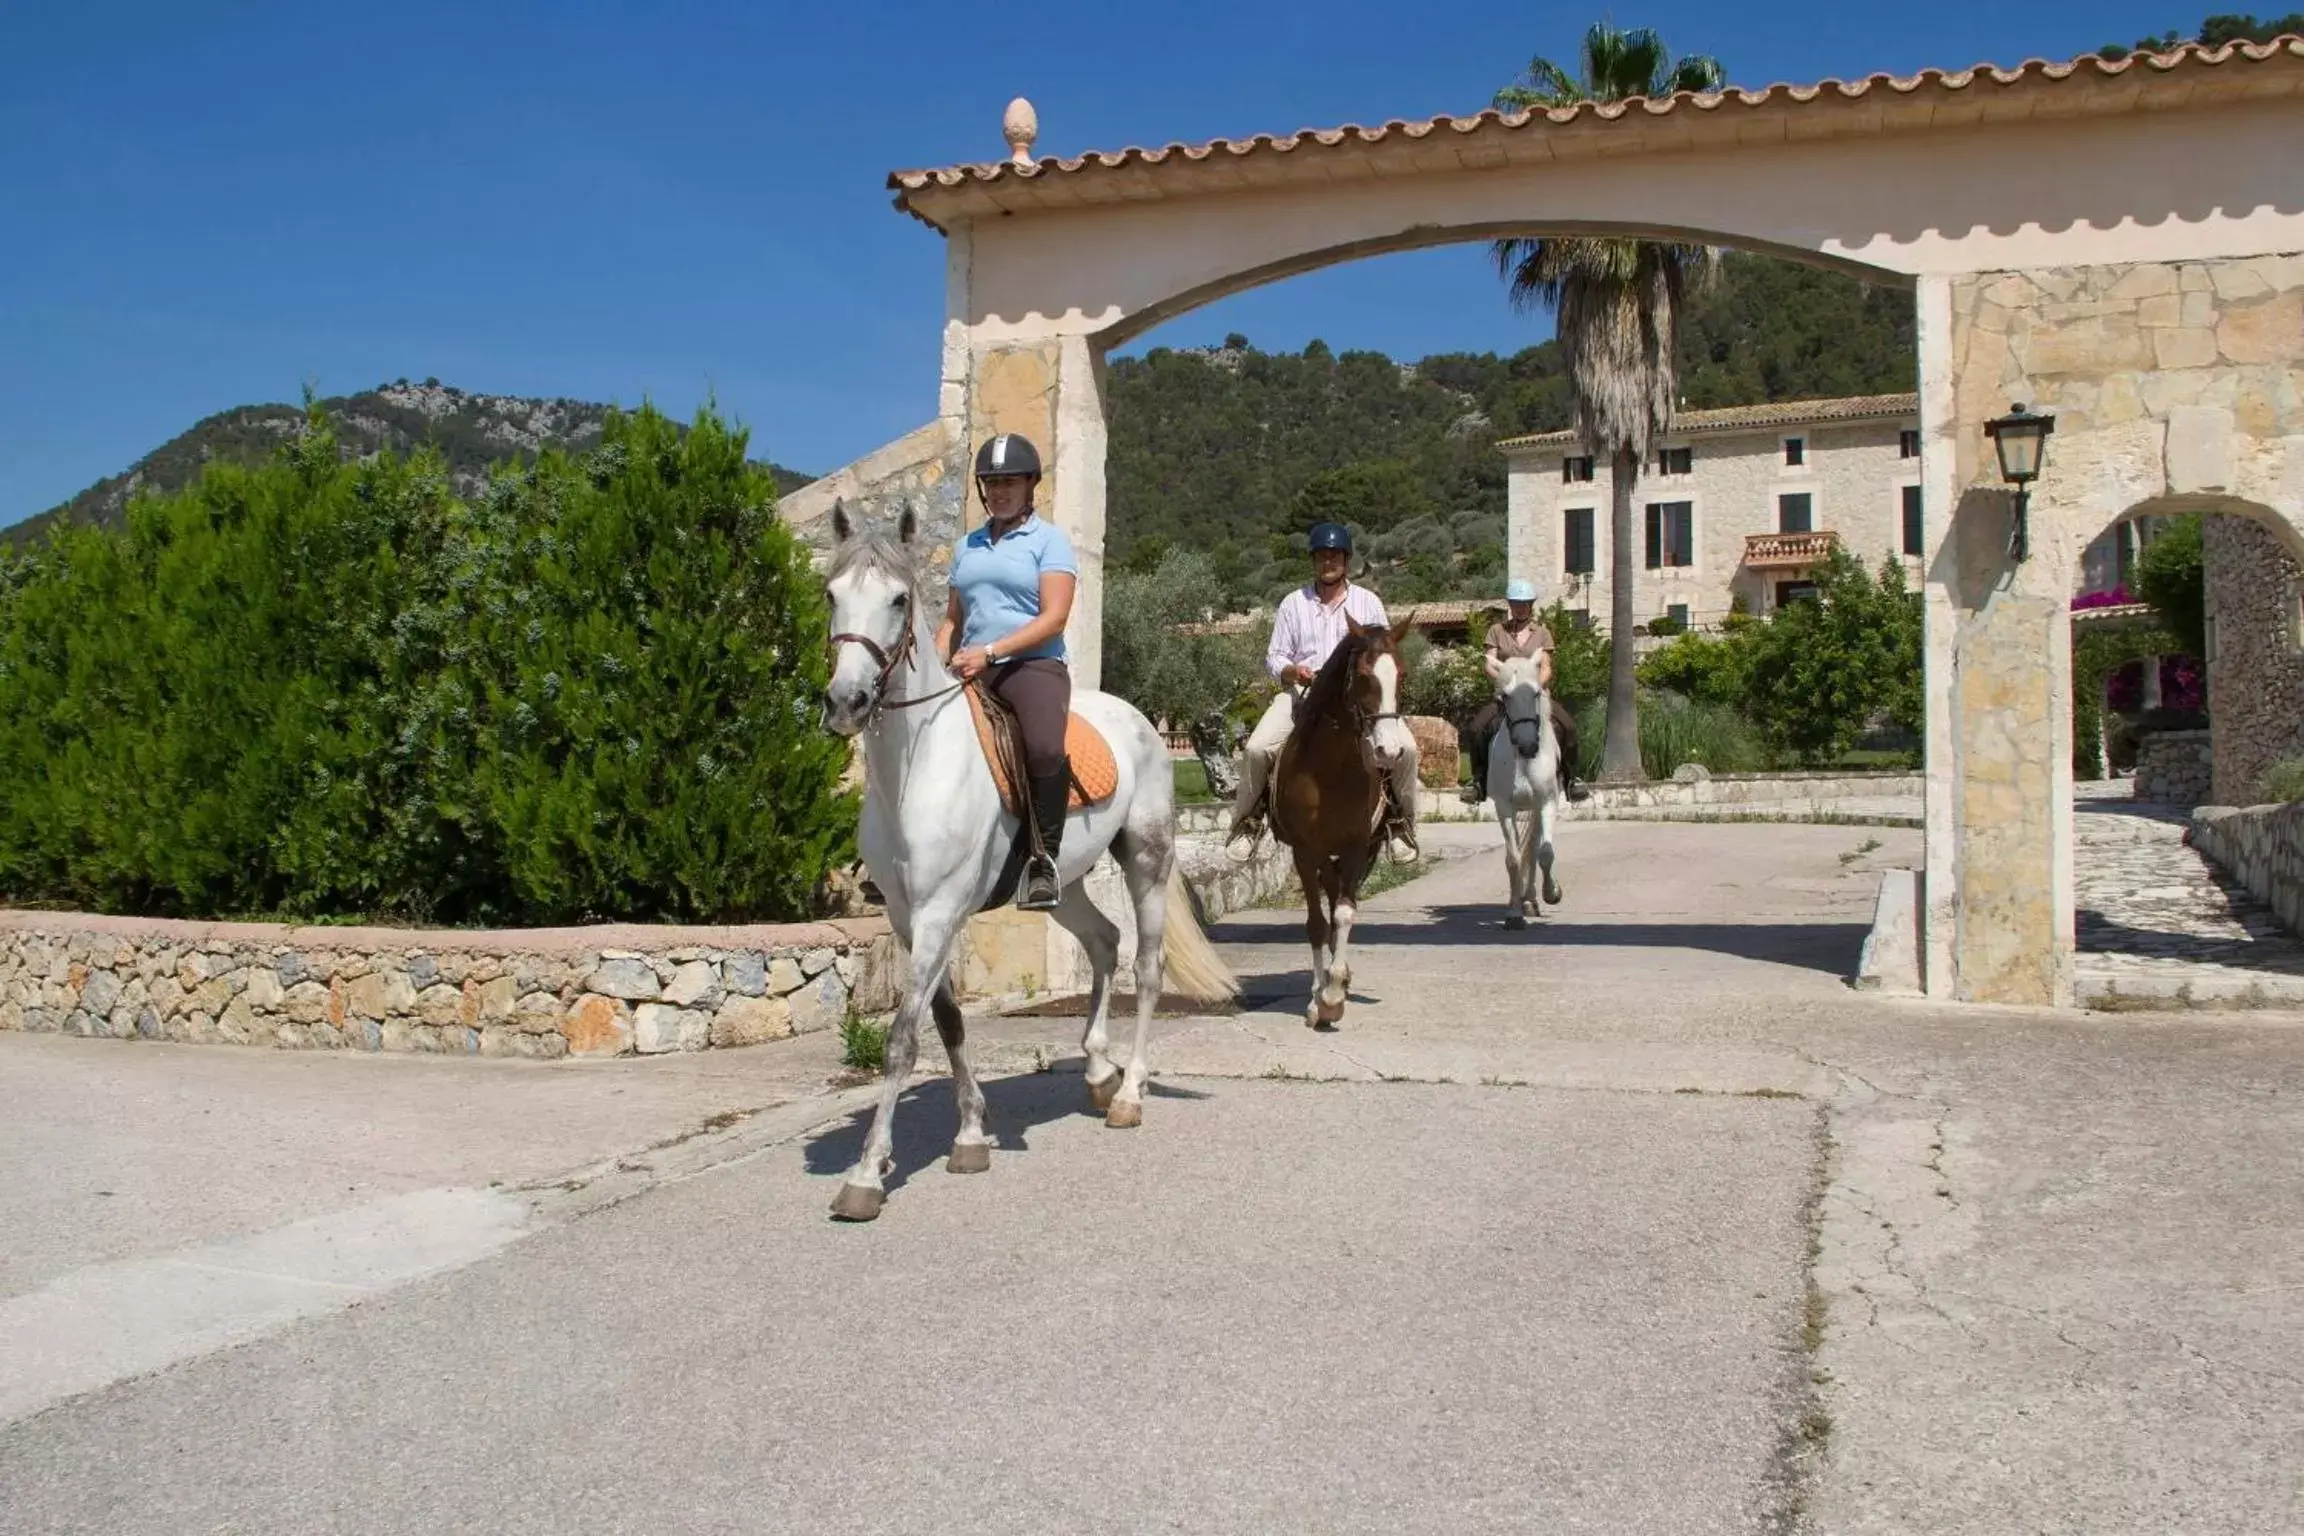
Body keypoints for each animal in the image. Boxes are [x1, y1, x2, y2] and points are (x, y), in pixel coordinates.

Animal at [824, 504, 1244, 1225]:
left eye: (899, 598)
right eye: (830, 595)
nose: (845, 702)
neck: (914, 770)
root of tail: (1137, 718)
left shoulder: (939, 914)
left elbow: (903, 1039)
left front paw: (866, 1175)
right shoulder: (910, 919)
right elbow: (948, 1022)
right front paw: (970, 1134)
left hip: (1148, 859)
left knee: (1146, 965)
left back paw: (1128, 1094)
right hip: (1063, 883)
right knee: (1103, 943)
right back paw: (1098, 1073)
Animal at [1271, 617, 1410, 1031]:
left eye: (1401, 674)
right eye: (1363, 676)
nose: (1388, 752)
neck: (1331, 770)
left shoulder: (1355, 848)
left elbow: (1345, 913)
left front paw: (1333, 994)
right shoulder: (1305, 852)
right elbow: (1317, 924)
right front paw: (1319, 1001)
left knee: (1338, 900)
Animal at [1483, 654, 1557, 930]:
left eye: (1535, 693)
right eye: (1505, 696)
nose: (1528, 746)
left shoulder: (1547, 802)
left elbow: (1545, 852)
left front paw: (1552, 893)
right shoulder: (1504, 807)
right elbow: (1513, 859)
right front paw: (1514, 913)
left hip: (1536, 808)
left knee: (1536, 849)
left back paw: (1533, 900)